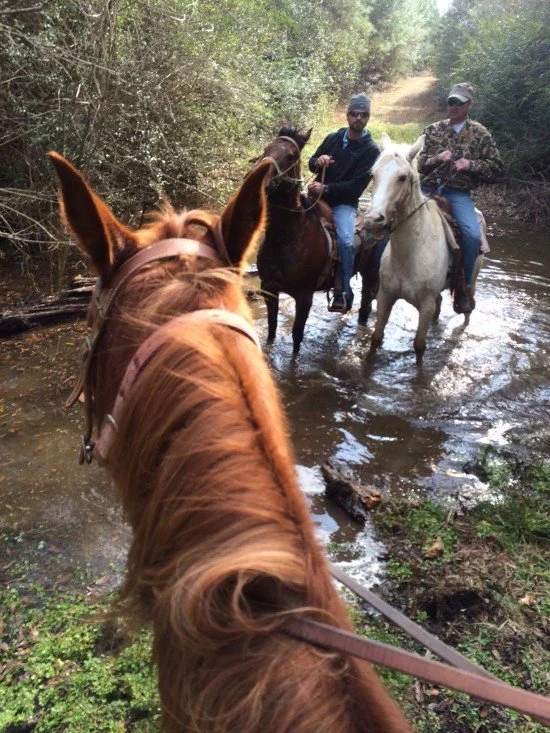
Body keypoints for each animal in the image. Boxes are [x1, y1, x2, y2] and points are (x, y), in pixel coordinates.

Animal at [256, 126, 380, 355]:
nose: (260, 178)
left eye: (291, 155)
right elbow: (271, 331)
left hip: (370, 273)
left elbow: (297, 336)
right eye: (266, 148)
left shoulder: (304, 296)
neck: (287, 239)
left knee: (365, 307)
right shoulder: (269, 289)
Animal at [364, 133, 483, 365]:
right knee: (440, 300)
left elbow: (419, 346)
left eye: (402, 177)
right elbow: (376, 337)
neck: (410, 253)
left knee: (467, 309)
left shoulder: (425, 306)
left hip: (471, 281)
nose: (373, 219)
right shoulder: (385, 296)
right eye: (373, 174)